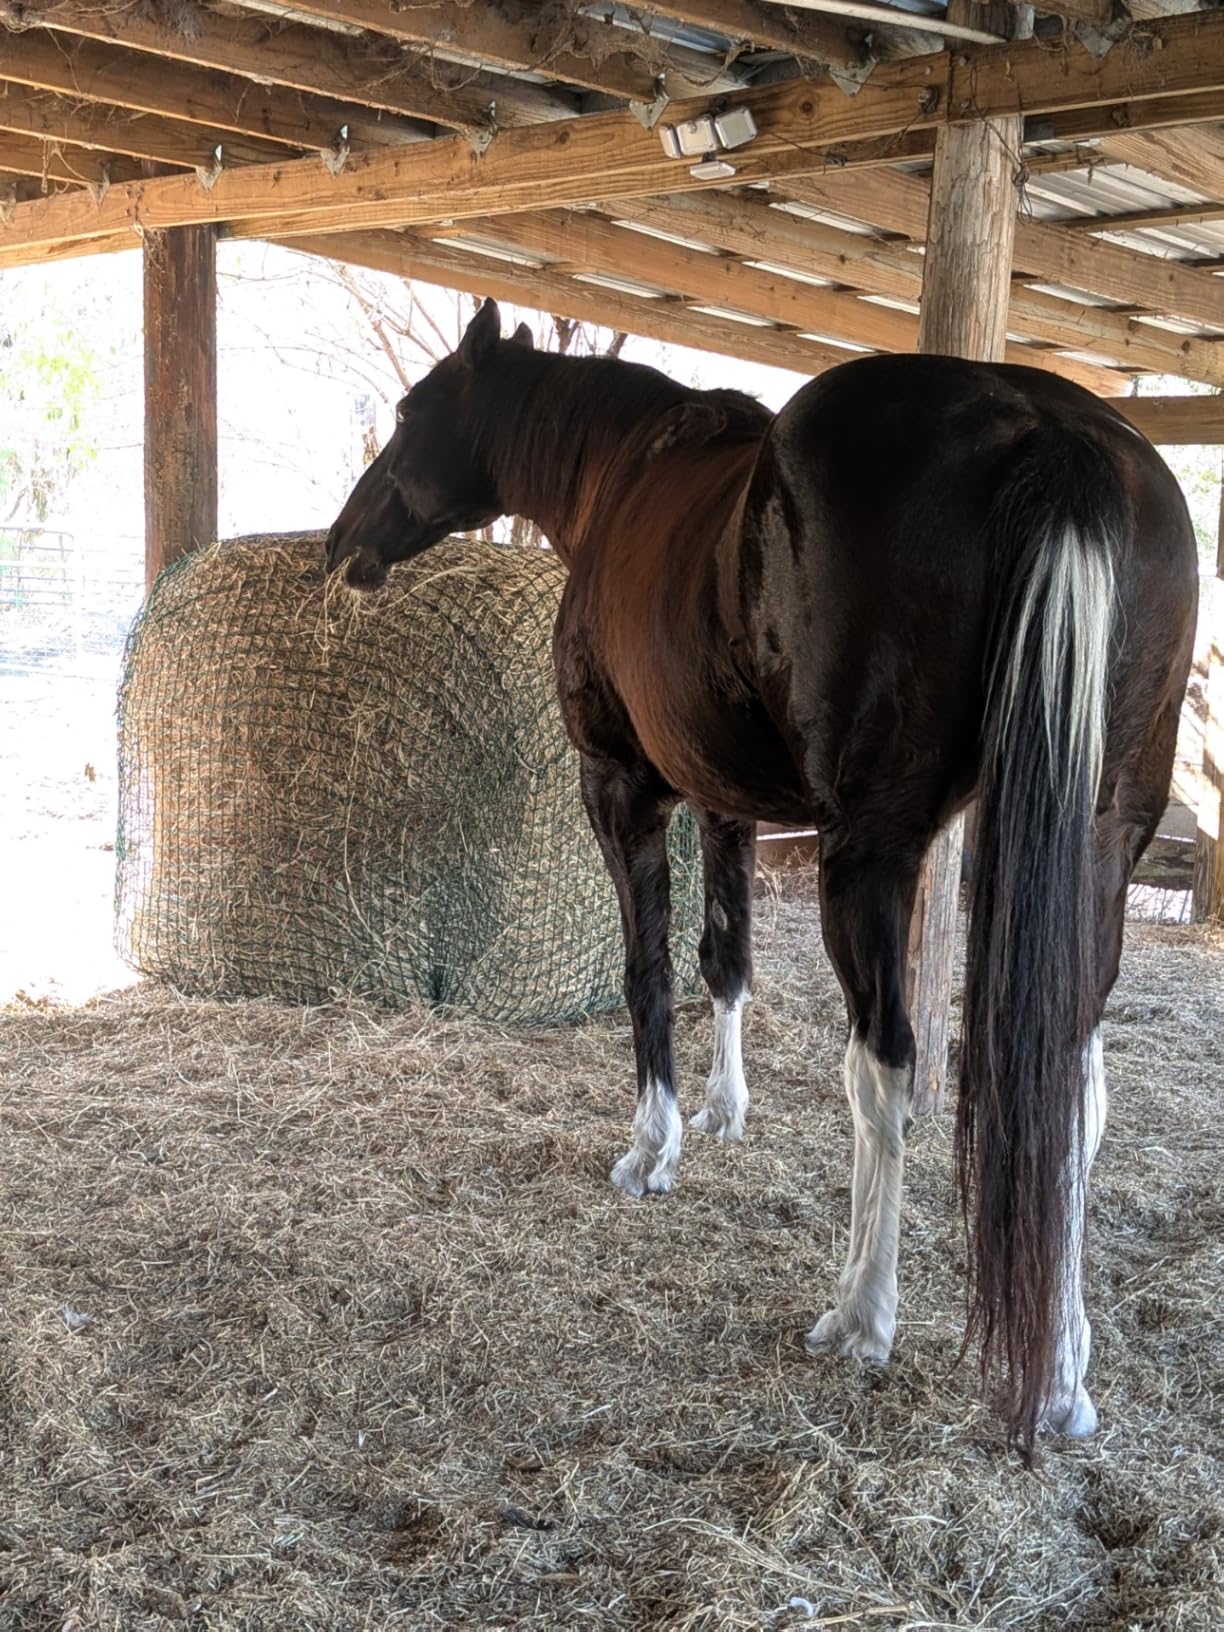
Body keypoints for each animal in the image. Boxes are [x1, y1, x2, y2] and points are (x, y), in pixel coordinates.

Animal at [325, 299, 1197, 1454]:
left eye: (411, 413)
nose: (340, 545)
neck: (621, 474)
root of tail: (1049, 430)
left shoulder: (623, 788)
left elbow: (650, 974)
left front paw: (653, 1148)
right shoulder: (723, 800)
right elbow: (725, 960)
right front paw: (724, 1110)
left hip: (869, 851)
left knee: (885, 1069)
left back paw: (861, 1315)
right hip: (1101, 842)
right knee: (1073, 1087)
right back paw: (1060, 1372)